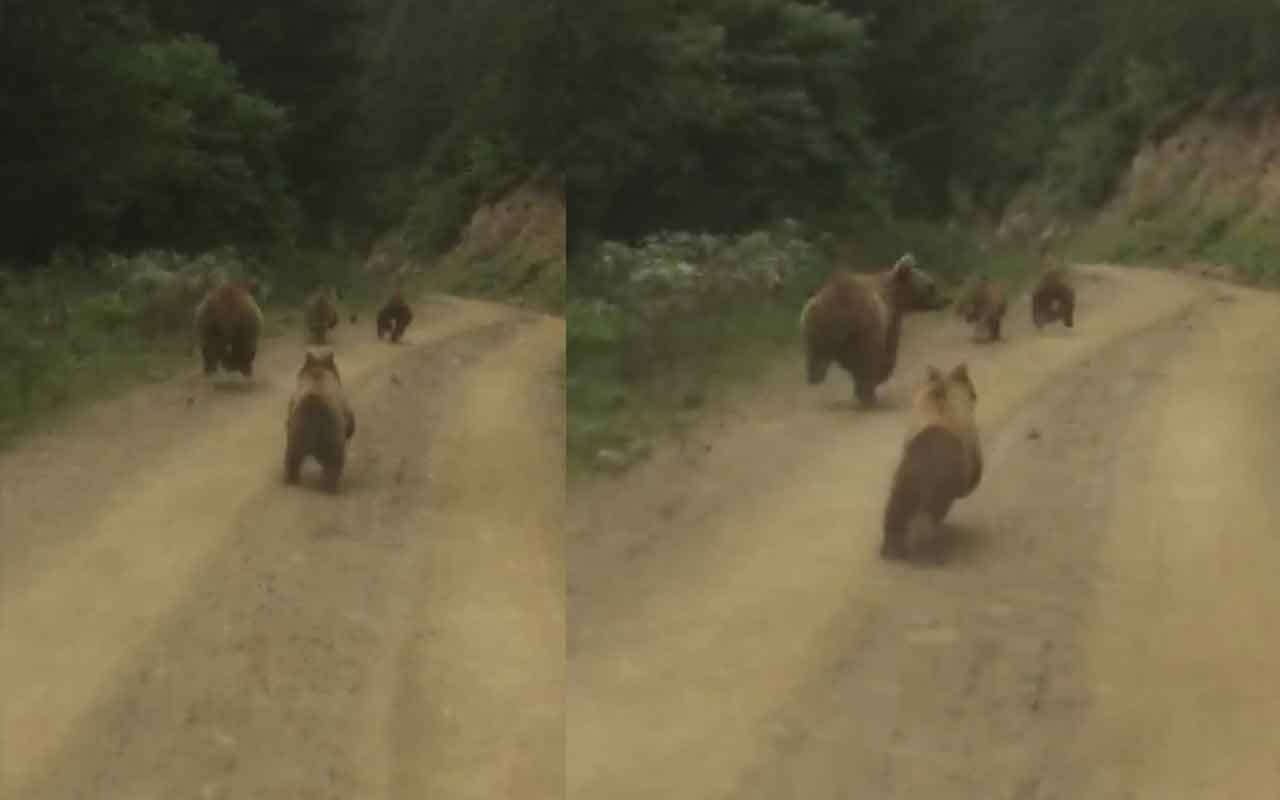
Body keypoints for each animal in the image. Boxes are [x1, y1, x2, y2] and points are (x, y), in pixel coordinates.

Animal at [284, 348, 355, 494]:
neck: (318, 371)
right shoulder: (342, 401)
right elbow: (349, 417)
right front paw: (350, 430)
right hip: (330, 434)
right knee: (334, 462)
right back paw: (331, 486)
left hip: (297, 432)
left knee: (293, 457)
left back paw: (292, 479)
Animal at [798, 254, 952, 409]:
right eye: (931, 286)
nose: (945, 300)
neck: (896, 295)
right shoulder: (889, 319)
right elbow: (887, 351)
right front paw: (880, 376)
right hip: (861, 327)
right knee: (867, 359)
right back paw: (868, 395)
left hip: (814, 330)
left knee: (817, 360)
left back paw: (818, 378)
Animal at [880, 358, 977, 558]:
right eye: (971, 386)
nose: (976, 395)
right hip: (937, 495)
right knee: (932, 519)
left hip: (901, 488)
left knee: (893, 514)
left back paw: (890, 548)